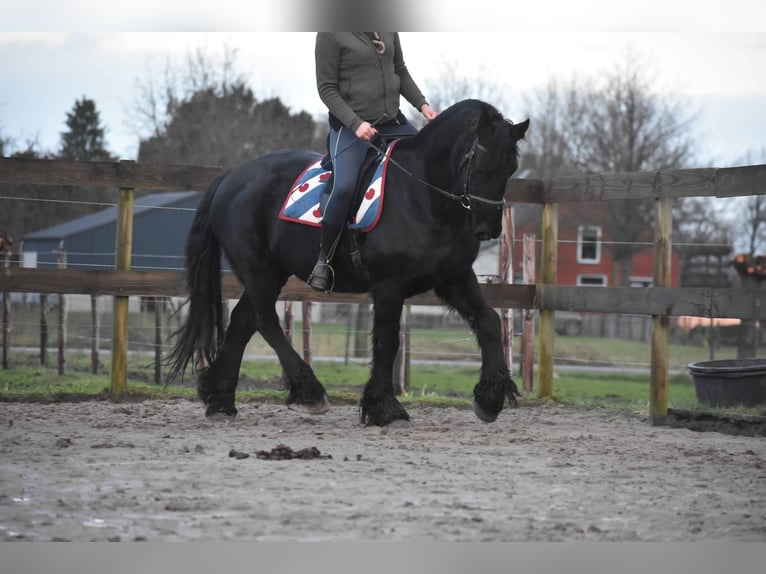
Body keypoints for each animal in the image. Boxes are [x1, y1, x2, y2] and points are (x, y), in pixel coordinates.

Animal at [166, 99, 529, 426]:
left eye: (510, 168)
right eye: (478, 160)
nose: (488, 228)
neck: (423, 195)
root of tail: (232, 176)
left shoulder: (454, 277)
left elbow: (489, 321)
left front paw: (490, 398)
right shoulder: (388, 285)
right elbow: (387, 341)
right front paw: (385, 409)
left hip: (270, 272)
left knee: (244, 321)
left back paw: (220, 400)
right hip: (259, 270)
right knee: (265, 320)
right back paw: (309, 391)